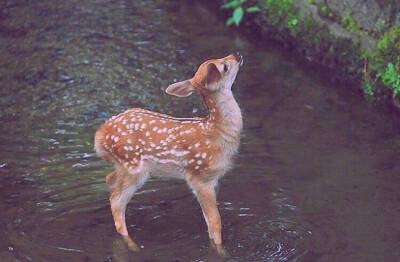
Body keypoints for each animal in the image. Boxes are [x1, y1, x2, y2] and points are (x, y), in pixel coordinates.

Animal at [94, 52, 244, 255]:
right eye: (224, 67)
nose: (237, 54)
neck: (217, 131)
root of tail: (100, 134)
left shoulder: (214, 180)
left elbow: (210, 222)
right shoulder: (199, 177)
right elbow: (215, 222)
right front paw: (221, 252)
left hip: (124, 166)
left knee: (109, 180)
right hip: (133, 166)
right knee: (116, 201)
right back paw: (133, 246)